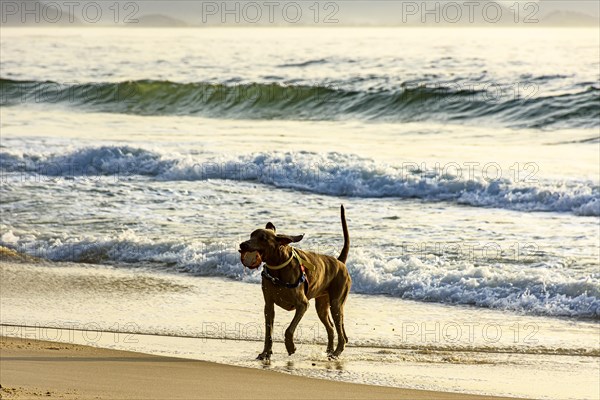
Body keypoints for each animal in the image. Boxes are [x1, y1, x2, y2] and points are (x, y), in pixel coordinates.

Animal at [239, 206, 352, 360]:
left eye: (263, 238)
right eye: (251, 235)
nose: (242, 244)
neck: (277, 267)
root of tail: (340, 262)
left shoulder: (302, 304)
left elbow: (288, 329)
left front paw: (290, 347)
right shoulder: (268, 306)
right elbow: (268, 332)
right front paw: (265, 353)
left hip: (336, 303)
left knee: (340, 333)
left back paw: (335, 353)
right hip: (322, 305)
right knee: (331, 328)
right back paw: (329, 351)